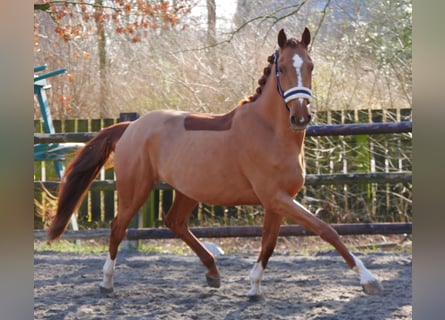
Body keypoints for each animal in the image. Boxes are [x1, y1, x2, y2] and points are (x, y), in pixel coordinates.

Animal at [47, 28, 382, 296]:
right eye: (284, 67)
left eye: (310, 66)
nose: (300, 117)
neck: (270, 131)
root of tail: (132, 126)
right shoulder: (276, 198)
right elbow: (326, 230)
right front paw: (368, 280)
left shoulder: (276, 201)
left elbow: (269, 243)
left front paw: (254, 287)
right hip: (135, 189)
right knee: (118, 226)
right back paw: (106, 282)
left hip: (187, 190)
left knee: (174, 222)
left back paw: (213, 272)